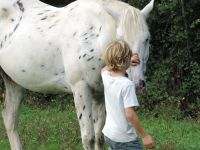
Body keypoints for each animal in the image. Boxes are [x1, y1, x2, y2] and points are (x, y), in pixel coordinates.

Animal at [0, 0, 155, 149]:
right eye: (121, 39)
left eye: (147, 39)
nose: (137, 84)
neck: (94, 38)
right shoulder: (81, 89)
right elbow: (88, 138)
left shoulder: (99, 94)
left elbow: (99, 137)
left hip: (13, 83)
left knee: (10, 120)